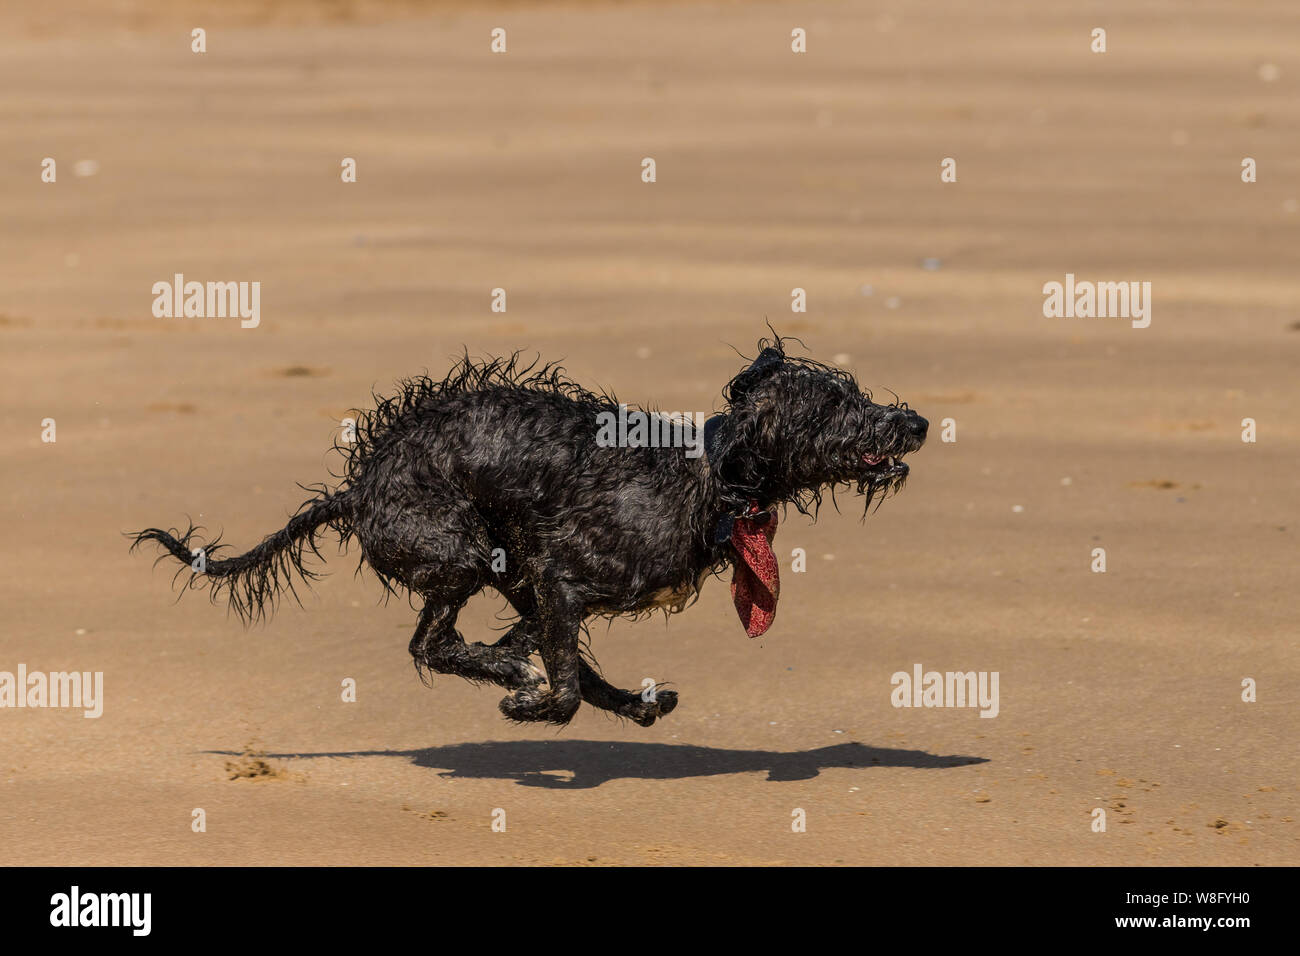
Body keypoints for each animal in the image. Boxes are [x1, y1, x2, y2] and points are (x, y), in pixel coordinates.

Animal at [129, 335, 925, 723]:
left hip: (500, 563)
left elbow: (560, 657)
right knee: (429, 644)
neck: (710, 480)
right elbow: (563, 686)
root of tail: (359, 489)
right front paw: (527, 696)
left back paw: (619, 698)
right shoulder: (560, 576)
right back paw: (520, 679)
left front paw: (533, 672)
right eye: (833, 406)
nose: (915, 422)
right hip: (460, 552)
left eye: (855, 390)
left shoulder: (544, 588)